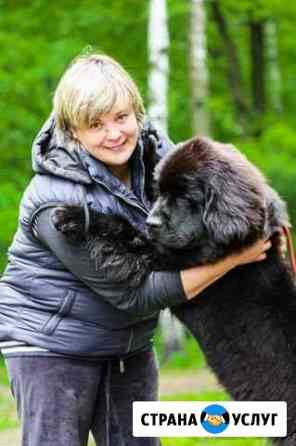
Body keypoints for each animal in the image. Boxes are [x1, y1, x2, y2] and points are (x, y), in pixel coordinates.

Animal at [52, 138, 296, 444]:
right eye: (162, 193)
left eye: (185, 197)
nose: (152, 223)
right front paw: (147, 146)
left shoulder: (166, 258)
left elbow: (124, 230)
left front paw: (75, 217)